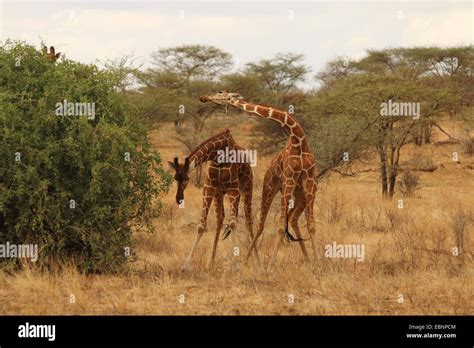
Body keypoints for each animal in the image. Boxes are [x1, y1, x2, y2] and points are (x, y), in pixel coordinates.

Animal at [168, 129, 262, 270]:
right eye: (175, 178)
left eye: (187, 179)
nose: (179, 198)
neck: (218, 156)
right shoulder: (209, 188)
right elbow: (201, 226)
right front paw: (186, 264)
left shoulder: (233, 191)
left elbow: (233, 224)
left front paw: (236, 264)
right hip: (219, 194)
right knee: (220, 219)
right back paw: (211, 261)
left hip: (246, 188)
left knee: (248, 222)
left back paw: (257, 261)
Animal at [198, 91, 316, 270]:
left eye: (221, 94)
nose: (204, 98)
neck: (298, 139)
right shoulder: (289, 180)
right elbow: (280, 227)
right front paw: (269, 267)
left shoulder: (309, 181)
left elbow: (311, 225)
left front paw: (320, 262)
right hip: (270, 189)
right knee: (261, 225)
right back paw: (249, 261)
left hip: (301, 194)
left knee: (292, 219)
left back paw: (308, 259)